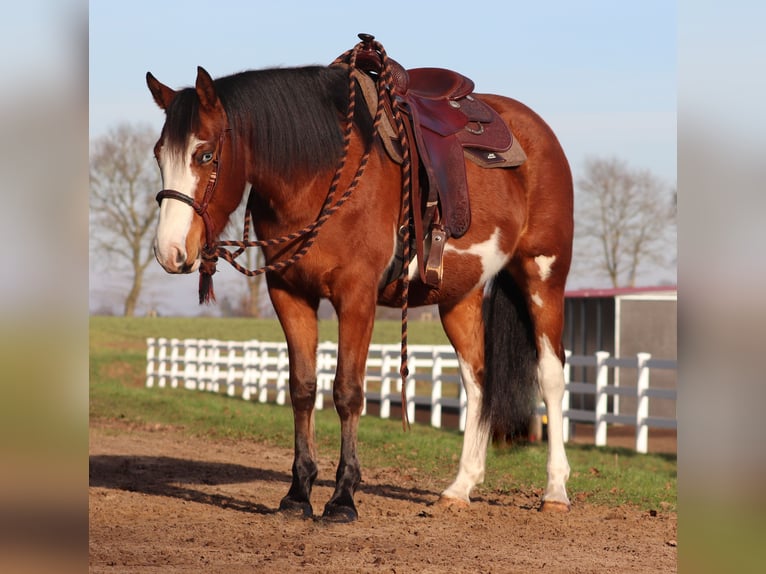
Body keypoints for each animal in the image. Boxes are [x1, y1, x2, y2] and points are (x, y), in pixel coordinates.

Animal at [146, 36, 573, 522]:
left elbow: (347, 391)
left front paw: (342, 497)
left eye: (205, 154)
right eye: (159, 155)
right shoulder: (289, 293)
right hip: (458, 296)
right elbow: (302, 389)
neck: (317, 171)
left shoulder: (356, 296)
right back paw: (460, 487)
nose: (169, 252)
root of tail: (537, 132)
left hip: (543, 277)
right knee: (477, 382)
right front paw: (298, 493)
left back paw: (555, 491)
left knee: (551, 375)